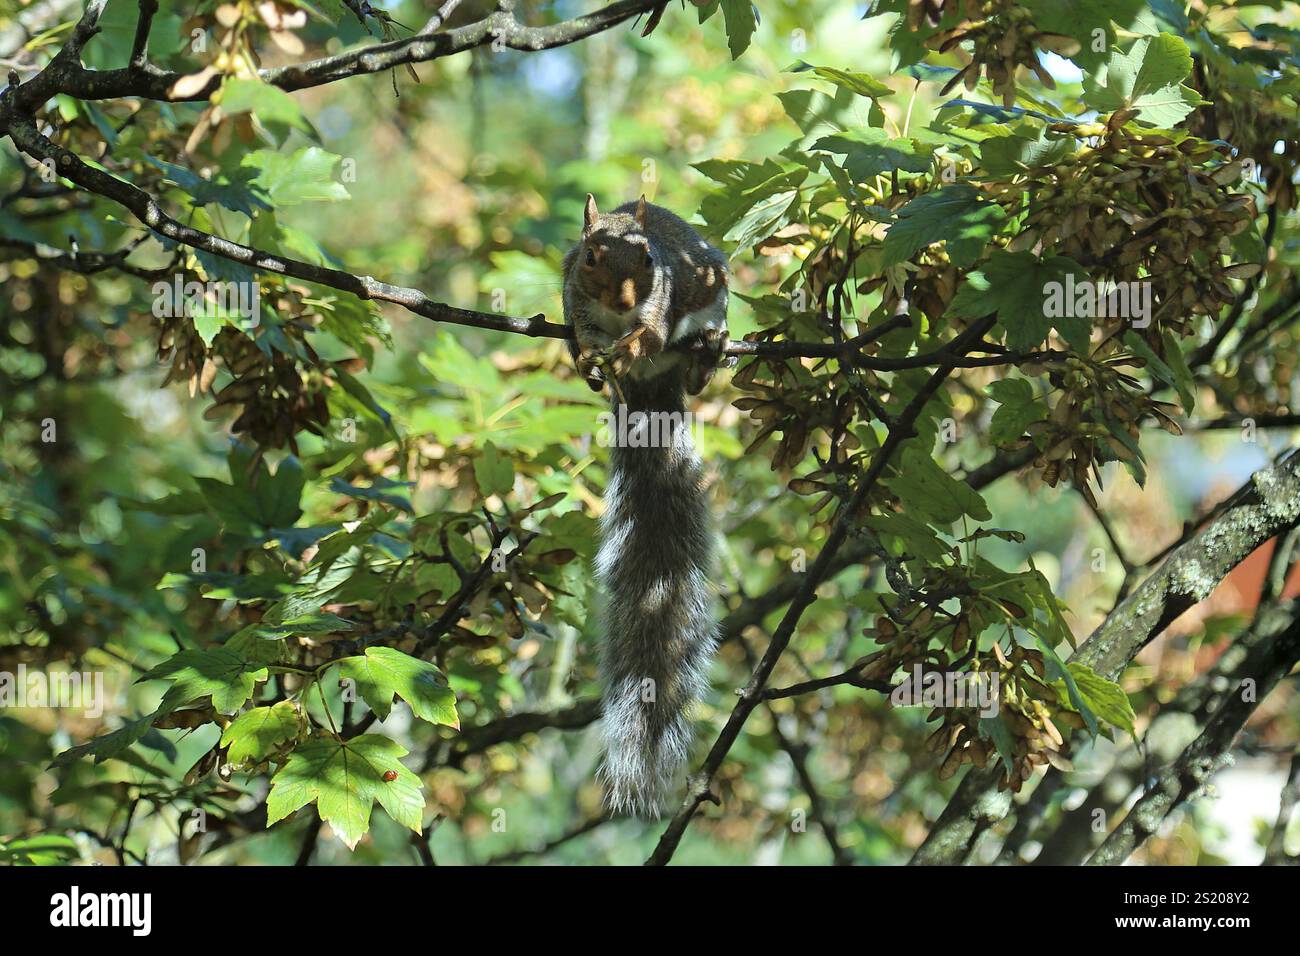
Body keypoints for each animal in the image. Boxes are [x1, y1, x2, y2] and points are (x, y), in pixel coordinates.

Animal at [562, 194, 731, 816]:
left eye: (649, 260)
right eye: (590, 256)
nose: (623, 301)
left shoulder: (659, 308)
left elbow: (651, 336)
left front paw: (629, 345)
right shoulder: (574, 299)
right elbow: (583, 333)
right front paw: (590, 357)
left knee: (694, 353)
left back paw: (704, 358)